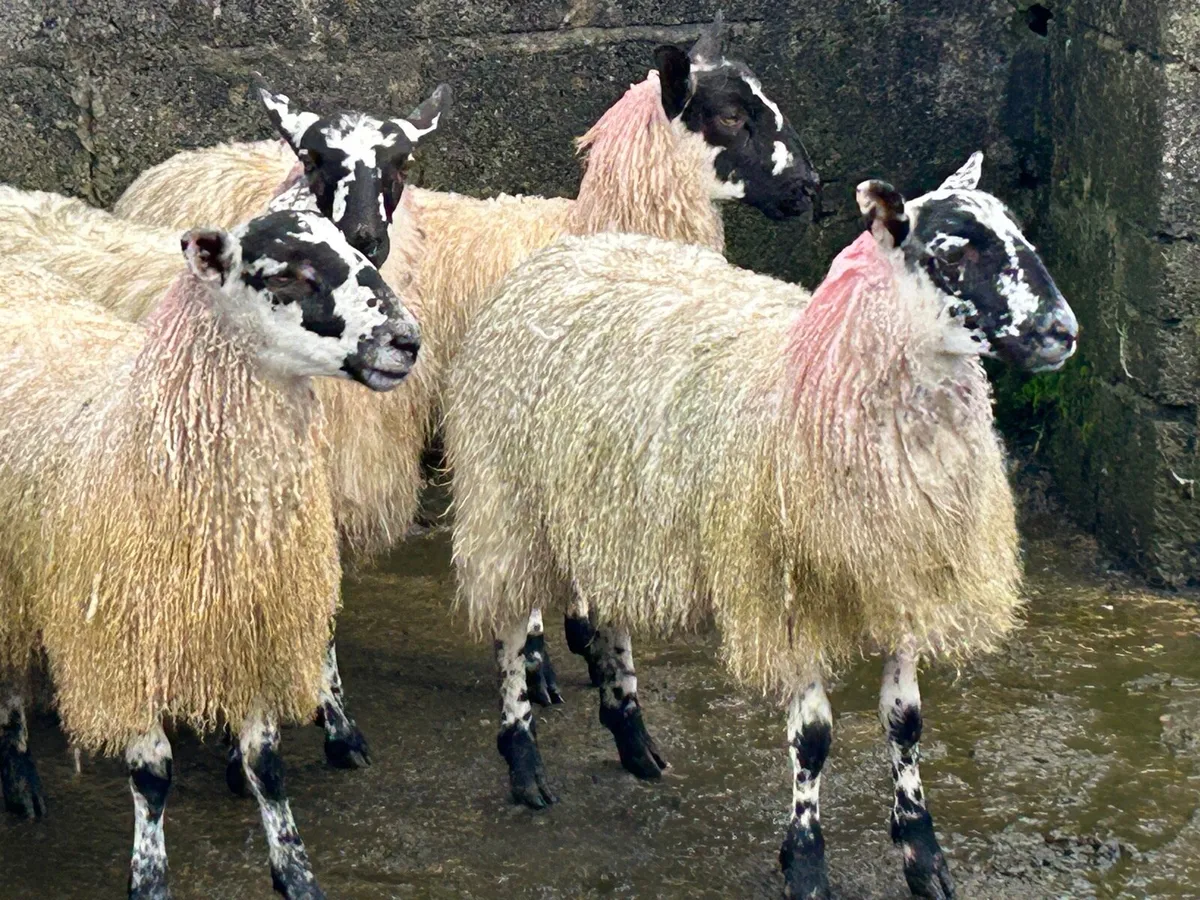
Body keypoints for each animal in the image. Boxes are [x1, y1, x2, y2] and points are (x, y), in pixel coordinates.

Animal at [0, 209, 420, 900]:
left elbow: (266, 764)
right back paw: (20, 778)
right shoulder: (127, 641)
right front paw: (148, 878)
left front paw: (295, 871)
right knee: (10, 673)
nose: (408, 342)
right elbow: (152, 774)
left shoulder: (247, 626)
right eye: (290, 274)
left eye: (358, 252)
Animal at [110, 22, 822, 791]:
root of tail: (168, 166)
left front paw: (573, 653)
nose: (811, 190)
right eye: (731, 114)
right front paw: (538, 668)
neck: (593, 225)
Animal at [442, 153, 1078, 898]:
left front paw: (923, 854)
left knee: (613, 609)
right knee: (512, 624)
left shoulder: (899, 572)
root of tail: (560, 252)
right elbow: (815, 738)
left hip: (613, 505)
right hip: (508, 495)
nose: (1063, 332)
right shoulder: (785, 586)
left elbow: (906, 723)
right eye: (951, 252)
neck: (833, 374)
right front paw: (805, 861)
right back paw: (524, 763)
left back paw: (633, 738)